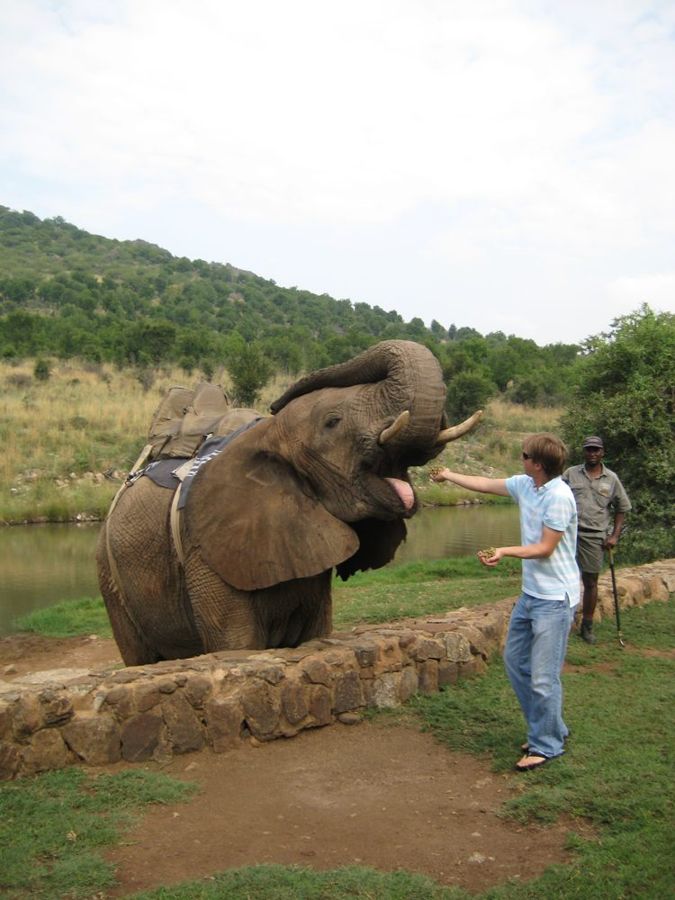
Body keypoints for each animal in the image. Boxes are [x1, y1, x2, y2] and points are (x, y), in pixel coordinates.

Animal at [96, 340, 482, 665]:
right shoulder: (204, 550)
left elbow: (317, 632)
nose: (275, 402)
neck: (266, 434)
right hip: (109, 576)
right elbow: (237, 644)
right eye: (332, 422)